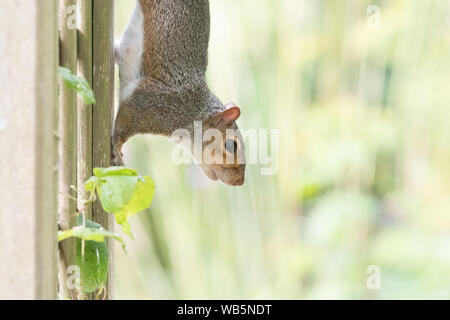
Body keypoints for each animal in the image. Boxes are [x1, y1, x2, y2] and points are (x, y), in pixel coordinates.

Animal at [112, 0, 246, 186]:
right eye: (232, 145)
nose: (239, 182)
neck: (194, 112)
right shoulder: (154, 105)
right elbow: (124, 122)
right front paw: (117, 151)